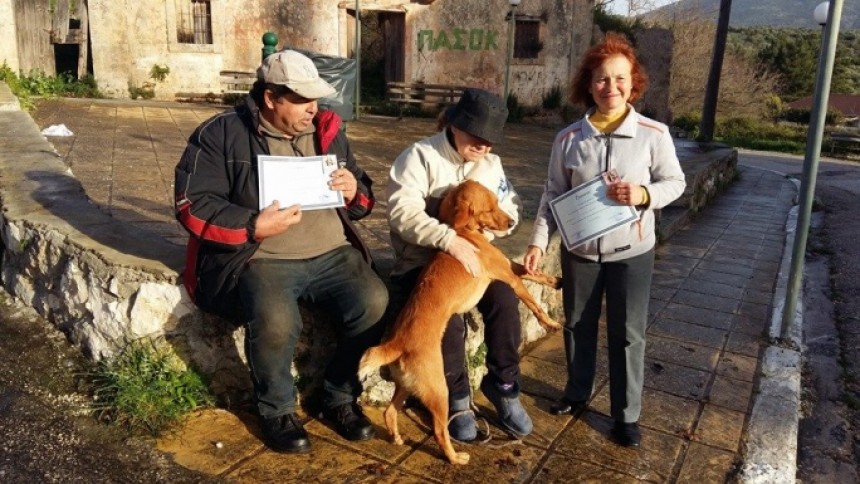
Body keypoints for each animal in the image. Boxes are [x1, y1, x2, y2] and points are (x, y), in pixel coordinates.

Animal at [358, 181, 564, 466]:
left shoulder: (509, 266)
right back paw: (455, 457)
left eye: (498, 202)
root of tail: (397, 343)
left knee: (390, 412)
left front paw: (555, 281)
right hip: (438, 390)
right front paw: (550, 323)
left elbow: (531, 271)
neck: (462, 232)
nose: (512, 221)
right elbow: (534, 302)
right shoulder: (509, 278)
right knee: (439, 430)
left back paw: (397, 437)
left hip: (407, 386)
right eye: (489, 208)